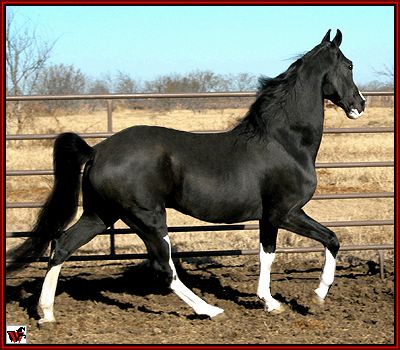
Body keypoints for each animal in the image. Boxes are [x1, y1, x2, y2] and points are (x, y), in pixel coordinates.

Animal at [6, 30, 364, 322]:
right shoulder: (284, 212)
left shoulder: (271, 216)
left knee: (62, 245)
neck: (284, 142)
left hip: (101, 214)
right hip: (147, 218)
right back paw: (209, 310)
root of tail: (96, 151)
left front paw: (284, 300)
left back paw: (46, 313)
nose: (359, 105)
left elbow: (278, 251)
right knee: (163, 268)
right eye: (349, 65)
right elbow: (324, 241)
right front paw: (305, 297)